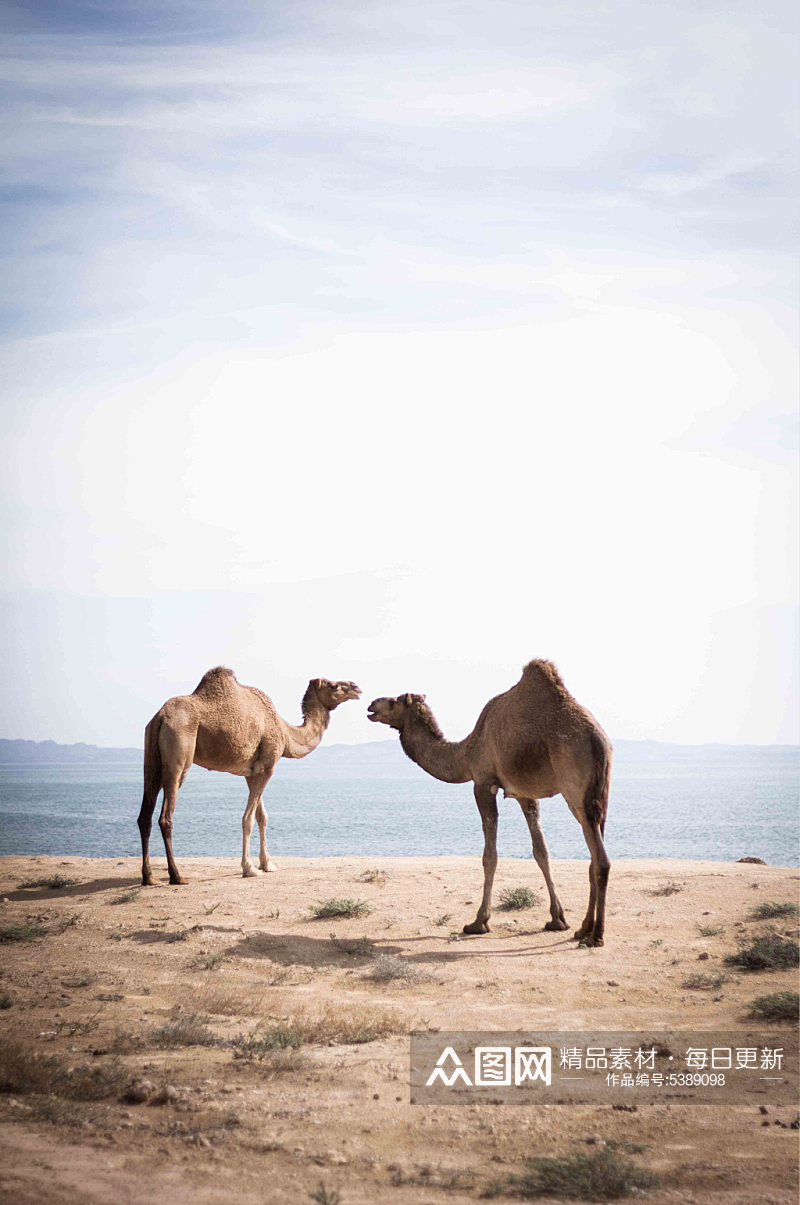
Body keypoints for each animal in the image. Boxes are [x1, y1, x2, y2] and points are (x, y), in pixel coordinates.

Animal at [139, 669, 361, 886]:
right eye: (333, 685)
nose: (356, 687)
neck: (285, 731)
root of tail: (160, 717)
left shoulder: (253, 771)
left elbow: (262, 816)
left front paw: (267, 863)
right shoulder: (268, 766)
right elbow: (248, 819)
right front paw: (249, 868)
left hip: (151, 760)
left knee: (144, 816)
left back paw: (149, 877)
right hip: (178, 754)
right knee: (166, 817)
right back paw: (176, 876)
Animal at [366, 665, 612, 944]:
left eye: (394, 701)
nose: (372, 704)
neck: (466, 752)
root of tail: (597, 740)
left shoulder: (483, 783)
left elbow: (489, 855)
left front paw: (479, 921)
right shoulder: (524, 793)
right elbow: (541, 851)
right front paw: (557, 919)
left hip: (575, 790)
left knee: (601, 860)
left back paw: (595, 936)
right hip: (599, 794)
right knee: (594, 855)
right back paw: (583, 928)